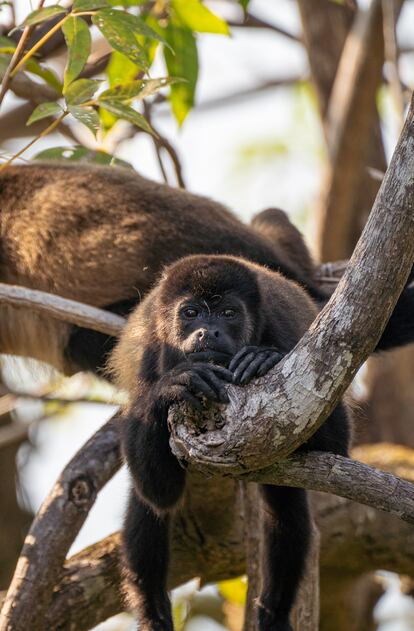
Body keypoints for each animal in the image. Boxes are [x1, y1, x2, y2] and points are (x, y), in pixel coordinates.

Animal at [110, 252, 414, 631]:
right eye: (190, 312)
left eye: (228, 313)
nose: (207, 331)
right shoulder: (151, 354)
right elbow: (158, 491)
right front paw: (174, 384)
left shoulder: (288, 331)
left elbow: (335, 446)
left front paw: (263, 359)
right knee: (147, 506)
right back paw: (154, 614)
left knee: (286, 510)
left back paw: (274, 612)